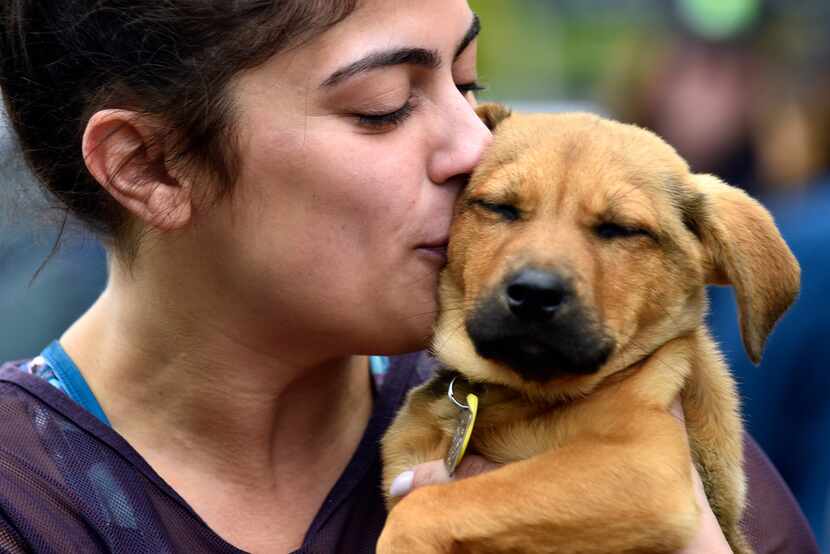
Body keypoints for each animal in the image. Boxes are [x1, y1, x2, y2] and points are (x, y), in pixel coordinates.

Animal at [380, 104, 804, 552]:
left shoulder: (644, 463)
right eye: (500, 208)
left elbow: (434, 504)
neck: (520, 398)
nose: (534, 294)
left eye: (619, 229)